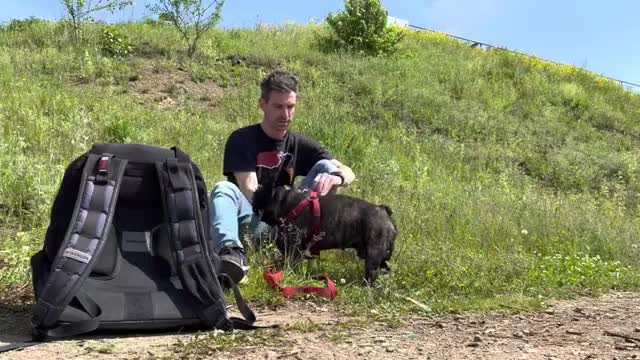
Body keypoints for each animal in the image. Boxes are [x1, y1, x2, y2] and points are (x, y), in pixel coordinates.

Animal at [251, 186, 396, 284]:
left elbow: (290, 263)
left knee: (371, 273)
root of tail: (384, 211)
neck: (285, 202)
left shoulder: (293, 248)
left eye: (258, 196)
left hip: (374, 253)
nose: (253, 196)